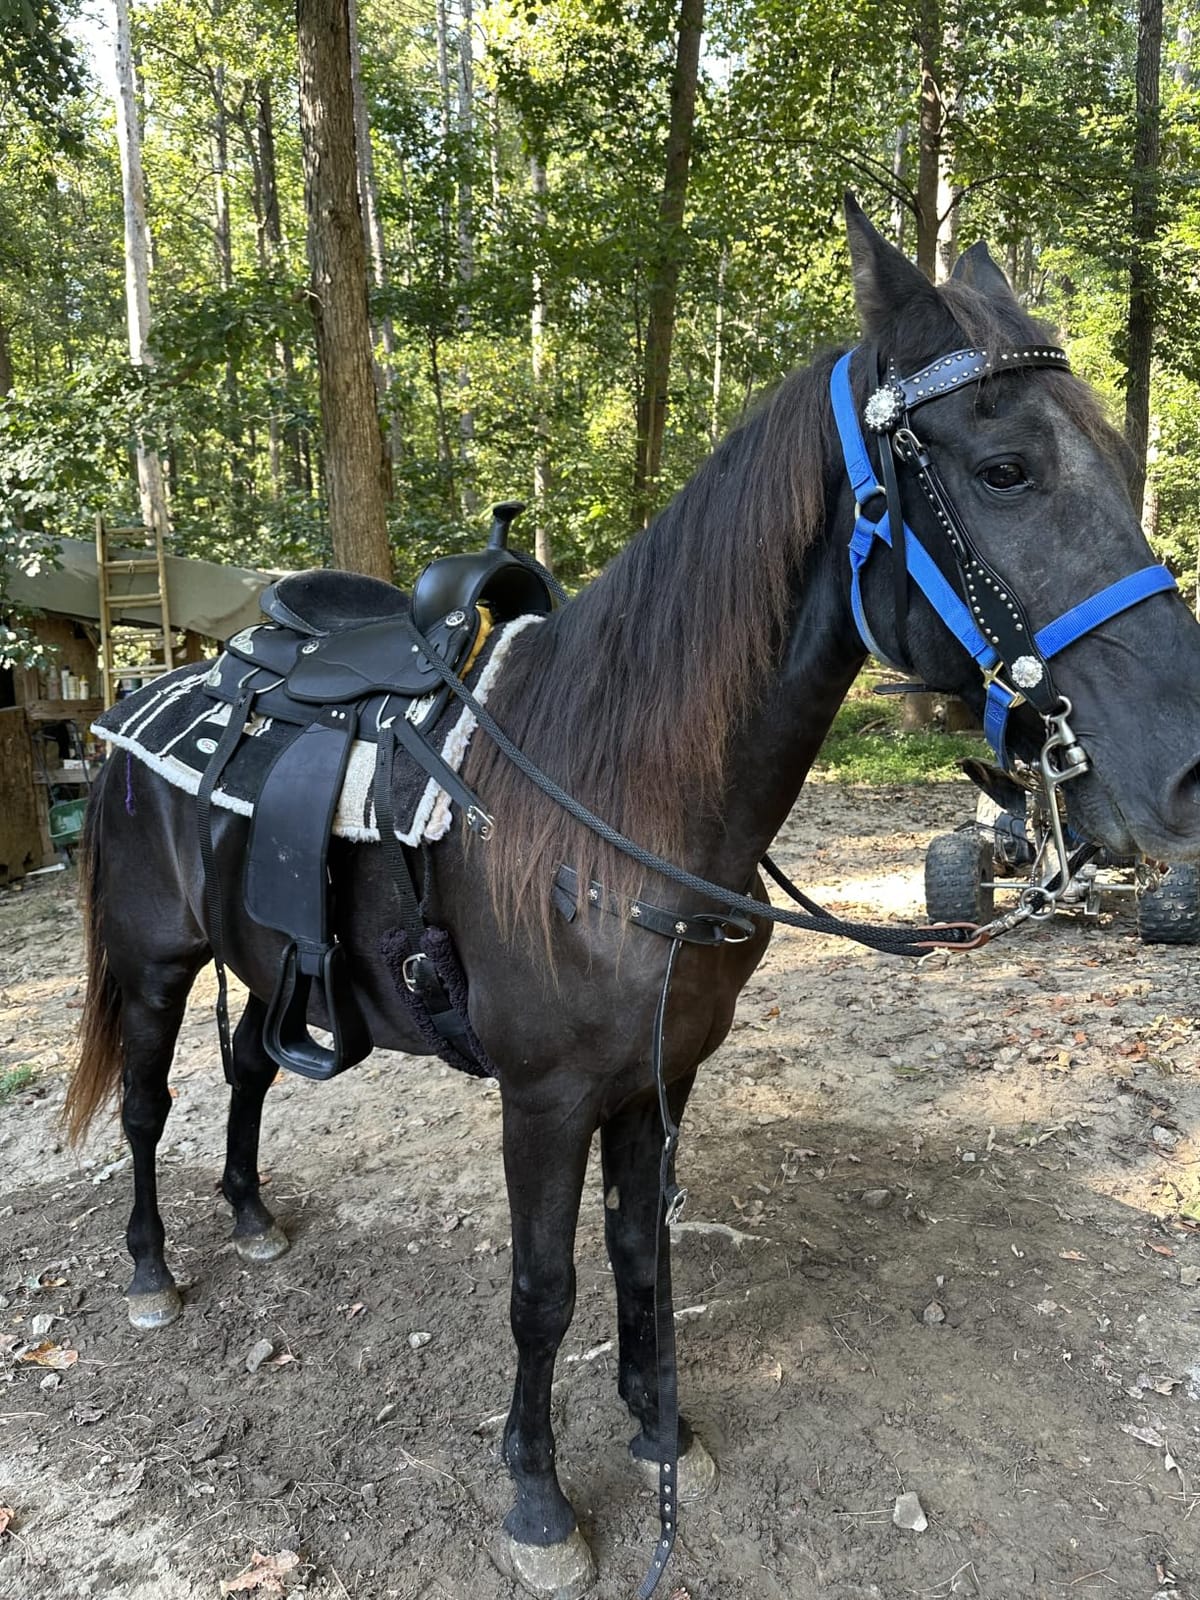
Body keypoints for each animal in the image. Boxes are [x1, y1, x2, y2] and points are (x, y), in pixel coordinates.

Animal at [64, 198, 1200, 1599]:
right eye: (1003, 471)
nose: (1187, 768)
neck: (617, 803)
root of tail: (141, 699)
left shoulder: (660, 1080)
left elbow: (639, 1254)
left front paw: (663, 1433)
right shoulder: (546, 1099)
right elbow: (543, 1288)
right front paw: (539, 1500)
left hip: (270, 967)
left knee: (249, 1072)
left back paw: (250, 1211)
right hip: (152, 962)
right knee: (149, 1104)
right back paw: (153, 1267)